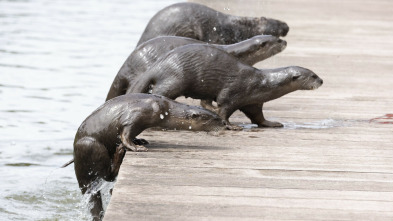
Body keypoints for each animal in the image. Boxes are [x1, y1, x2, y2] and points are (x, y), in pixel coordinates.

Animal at [72, 93, 225, 219]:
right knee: (106, 175)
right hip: (90, 145)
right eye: (214, 118)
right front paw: (136, 147)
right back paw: (119, 153)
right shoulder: (136, 115)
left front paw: (139, 141)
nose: (224, 123)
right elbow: (125, 134)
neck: (163, 109)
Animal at [128, 45, 322, 128]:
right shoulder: (233, 93)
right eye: (313, 75)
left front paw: (271, 123)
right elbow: (224, 109)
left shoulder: (253, 102)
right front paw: (230, 125)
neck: (262, 83)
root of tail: (160, 64)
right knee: (160, 91)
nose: (321, 81)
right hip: (175, 78)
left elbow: (258, 116)